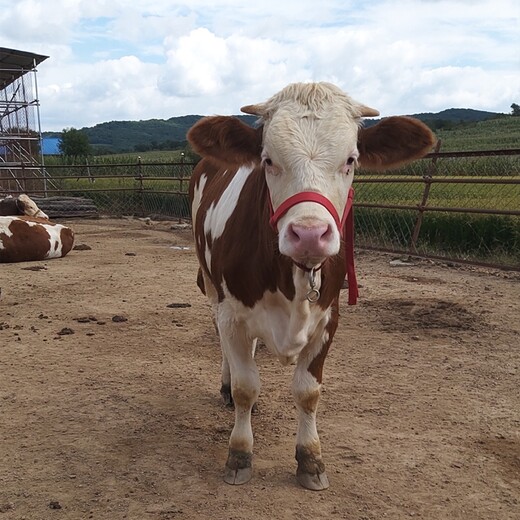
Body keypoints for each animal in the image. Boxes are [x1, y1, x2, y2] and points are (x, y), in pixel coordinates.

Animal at [187, 82, 434, 492]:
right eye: (268, 160)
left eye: (351, 160)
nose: (309, 234)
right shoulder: (232, 312)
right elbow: (244, 387)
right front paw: (239, 453)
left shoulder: (328, 318)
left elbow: (308, 392)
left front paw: (311, 459)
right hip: (209, 284)